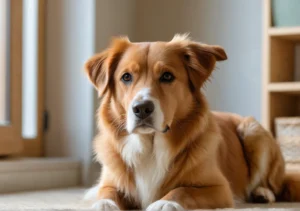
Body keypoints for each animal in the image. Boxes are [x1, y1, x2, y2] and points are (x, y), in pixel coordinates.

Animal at [84, 33, 300, 210]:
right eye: (126, 77)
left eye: (167, 76)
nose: (142, 109)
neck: (150, 145)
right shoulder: (111, 182)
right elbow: (105, 193)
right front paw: (102, 204)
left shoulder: (219, 188)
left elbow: (183, 190)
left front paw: (164, 203)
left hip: (253, 131)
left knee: (274, 185)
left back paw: (262, 193)